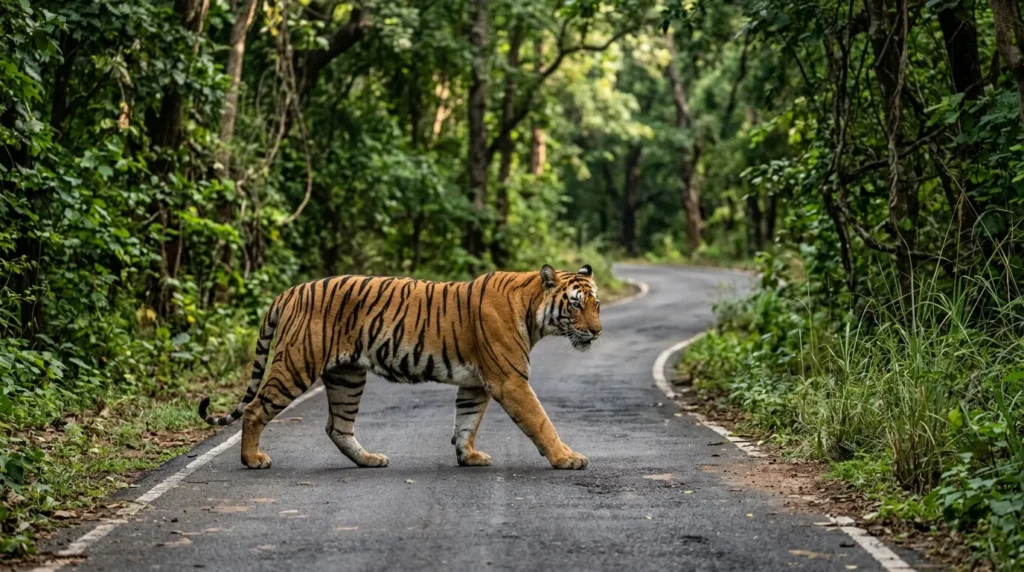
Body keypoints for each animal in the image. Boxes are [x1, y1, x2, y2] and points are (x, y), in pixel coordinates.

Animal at [198, 264, 602, 470]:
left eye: (596, 304)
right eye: (576, 304)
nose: (598, 331)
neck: (533, 311)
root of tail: (290, 291)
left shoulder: (476, 383)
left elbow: (466, 421)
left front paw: (467, 456)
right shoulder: (509, 380)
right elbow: (541, 421)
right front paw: (567, 458)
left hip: (346, 376)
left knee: (337, 427)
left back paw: (369, 460)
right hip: (296, 365)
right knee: (255, 409)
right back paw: (253, 459)